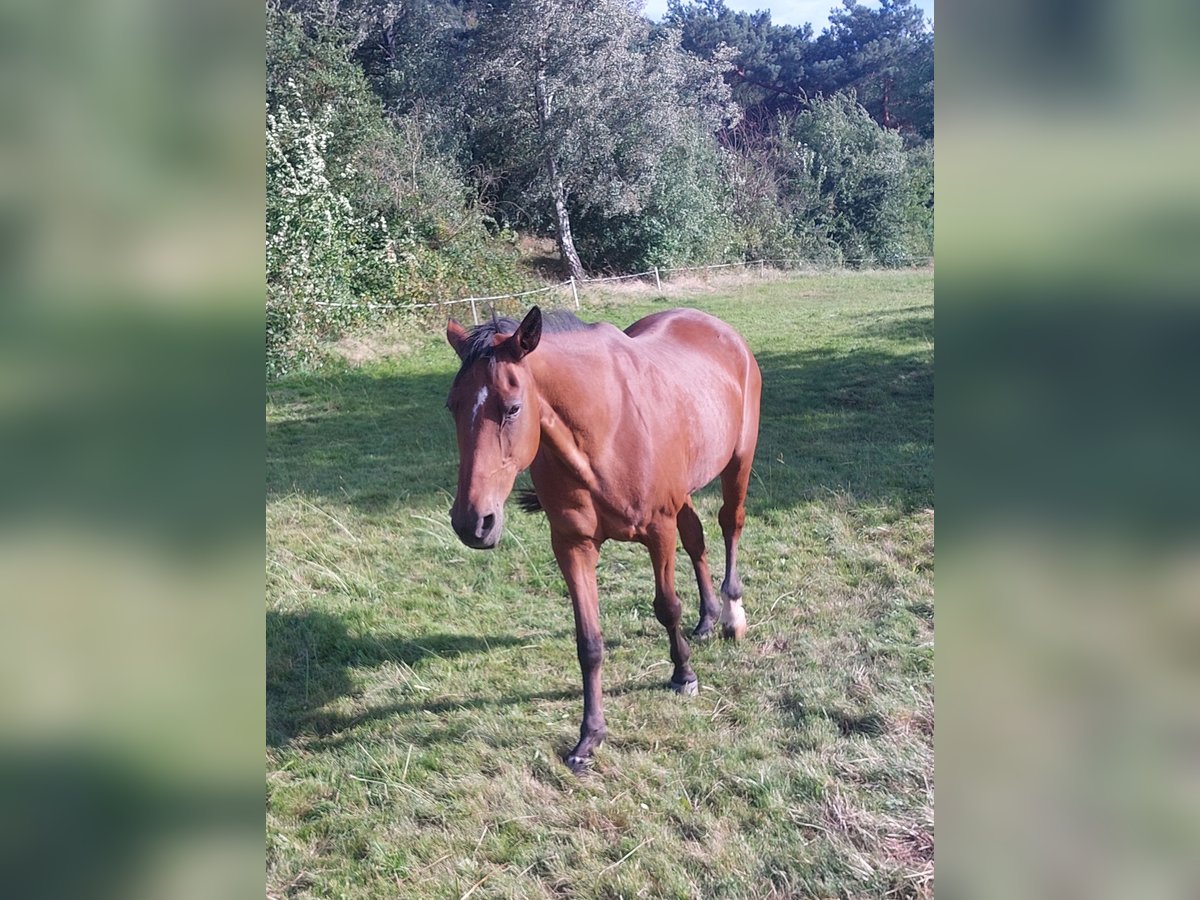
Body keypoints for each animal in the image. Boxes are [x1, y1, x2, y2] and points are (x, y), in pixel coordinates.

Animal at [446, 307, 763, 772]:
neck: (606, 432)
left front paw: (683, 675)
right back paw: (706, 618)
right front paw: (589, 736)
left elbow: (667, 607)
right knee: (696, 537)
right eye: (452, 406)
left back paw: (730, 615)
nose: (473, 523)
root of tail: (721, 329)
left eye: (512, 408)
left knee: (730, 524)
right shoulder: (571, 545)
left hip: (738, 461)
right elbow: (589, 643)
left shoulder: (657, 531)